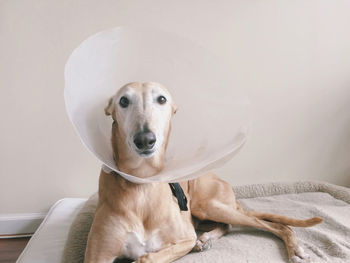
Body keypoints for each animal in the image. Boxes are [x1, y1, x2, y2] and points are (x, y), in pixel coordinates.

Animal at [85, 82, 322, 263]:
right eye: (123, 101)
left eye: (161, 99)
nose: (145, 139)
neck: (140, 185)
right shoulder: (97, 256)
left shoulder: (184, 238)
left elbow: (147, 257)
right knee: (228, 226)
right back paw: (205, 239)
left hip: (207, 205)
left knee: (276, 225)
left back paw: (294, 250)